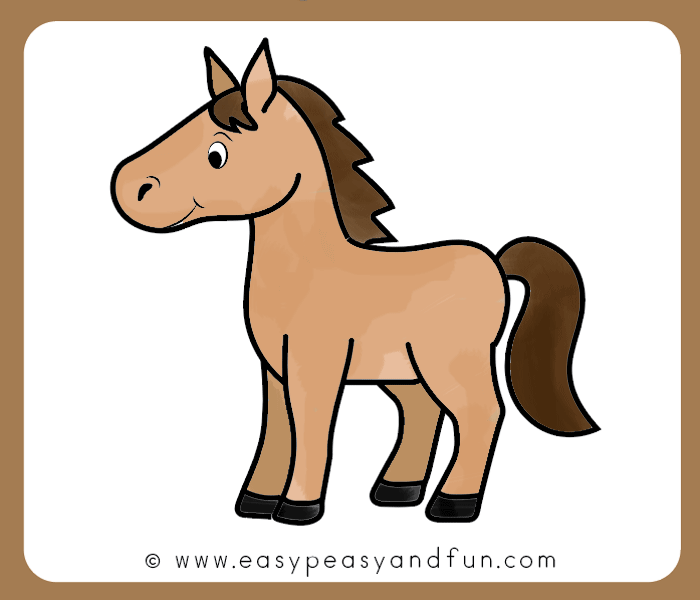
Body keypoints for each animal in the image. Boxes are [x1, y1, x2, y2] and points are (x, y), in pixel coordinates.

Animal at [111, 40, 598, 526]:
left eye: (218, 153)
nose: (128, 187)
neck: (306, 268)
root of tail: (495, 263)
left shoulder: (315, 365)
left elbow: (311, 428)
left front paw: (298, 508)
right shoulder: (274, 369)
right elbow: (276, 431)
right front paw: (255, 501)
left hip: (452, 362)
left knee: (481, 414)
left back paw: (452, 503)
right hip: (404, 369)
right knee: (422, 411)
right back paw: (397, 490)